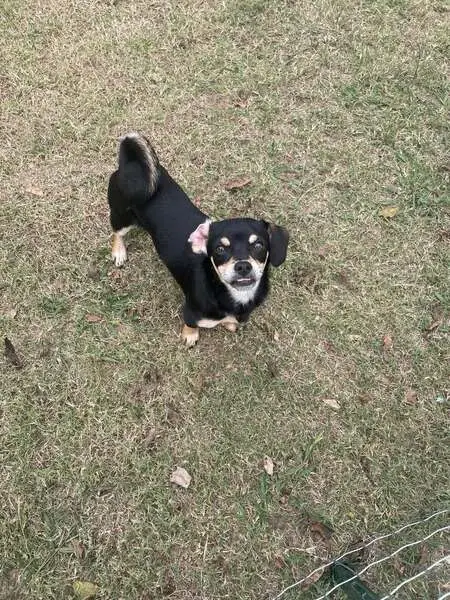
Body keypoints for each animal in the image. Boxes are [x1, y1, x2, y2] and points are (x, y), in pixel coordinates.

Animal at [107, 133, 289, 346]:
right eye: (219, 249)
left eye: (259, 245)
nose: (243, 266)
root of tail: (129, 165)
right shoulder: (191, 312)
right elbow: (191, 324)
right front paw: (190, 336)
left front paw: (229, 324)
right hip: (121, 216)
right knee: (117, 233)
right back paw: (119, 252)